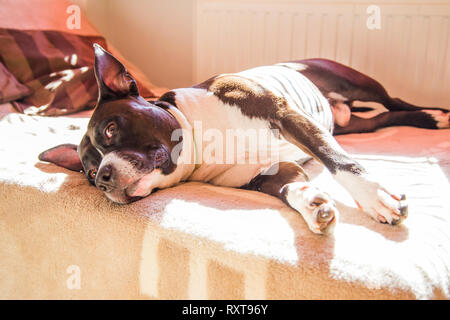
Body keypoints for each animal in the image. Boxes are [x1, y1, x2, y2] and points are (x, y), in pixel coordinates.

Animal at [39, 43, 450, 235]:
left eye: (111, 129)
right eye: (89, 174)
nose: (104, 177)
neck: (201, 143)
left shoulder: (286, 116)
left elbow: (340, 162)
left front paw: (377, 198)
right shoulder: (269, 173)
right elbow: (292, 189)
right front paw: (313, 204)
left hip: (357, 83)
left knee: (394, 102)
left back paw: (436, 115)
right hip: (348, 125)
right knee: (382, 119)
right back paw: (425, 119)